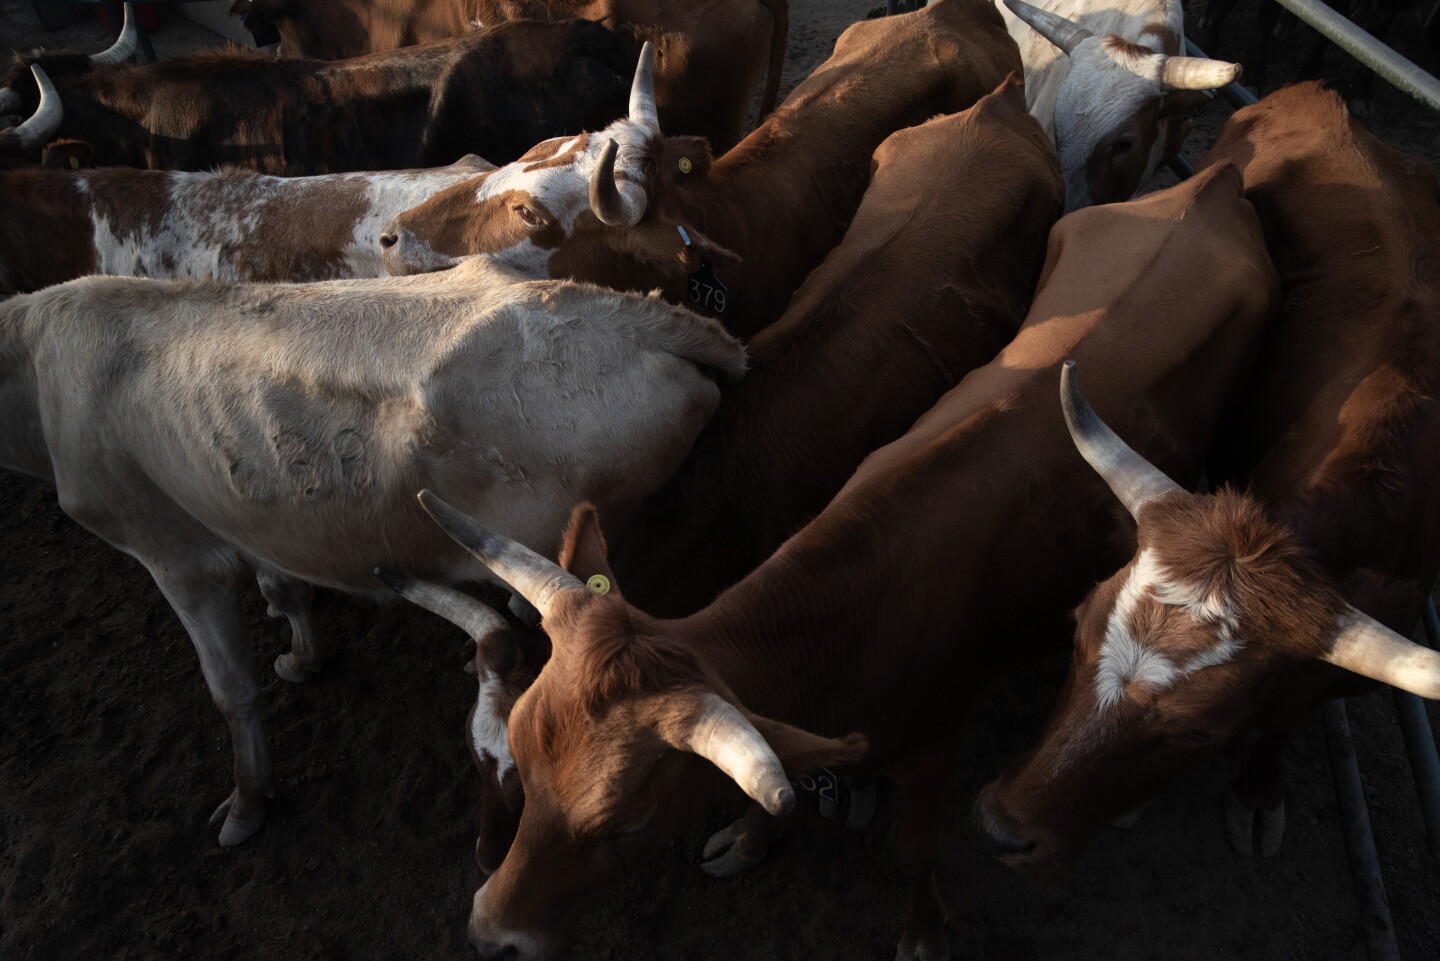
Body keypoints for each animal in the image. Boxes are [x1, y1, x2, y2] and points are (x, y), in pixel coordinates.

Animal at [0, 255, 745, 848]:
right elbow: (285, 589)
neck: (33, 371)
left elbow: (230, 688)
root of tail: (634, 313)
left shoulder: (175, 554)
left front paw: (246, 803)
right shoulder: (257, 523)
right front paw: (304, 656)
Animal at [387, 161, 1277, 959]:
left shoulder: (938, 740)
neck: (852, 618)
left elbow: (912, 850)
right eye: (525, 754)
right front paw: (749, 837)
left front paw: (923, 933)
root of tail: (1213, 182)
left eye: (624, 824)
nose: (491, 932)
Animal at [975, 83, 1440, 875]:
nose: (1005, 829)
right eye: (1078, 628)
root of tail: (1322, 92)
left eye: (1200, 731)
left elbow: (1283, 719)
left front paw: (1257, 790)